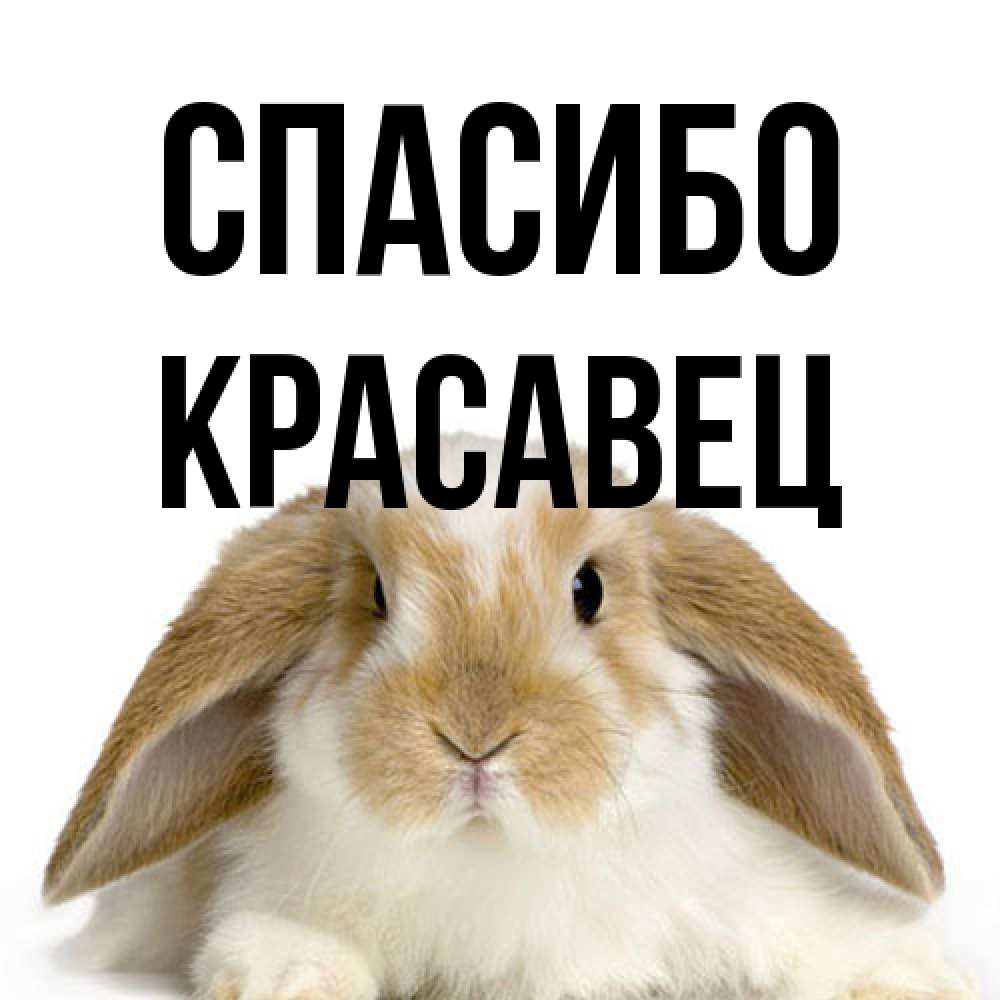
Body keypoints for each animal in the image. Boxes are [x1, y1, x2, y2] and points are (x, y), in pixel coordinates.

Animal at [45, 435, 975, 1000]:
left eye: (589, 589)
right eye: (375, 596)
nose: (475, 737)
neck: (495, 857)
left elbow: (816, 938)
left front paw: (910, 978)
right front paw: (292, 977)